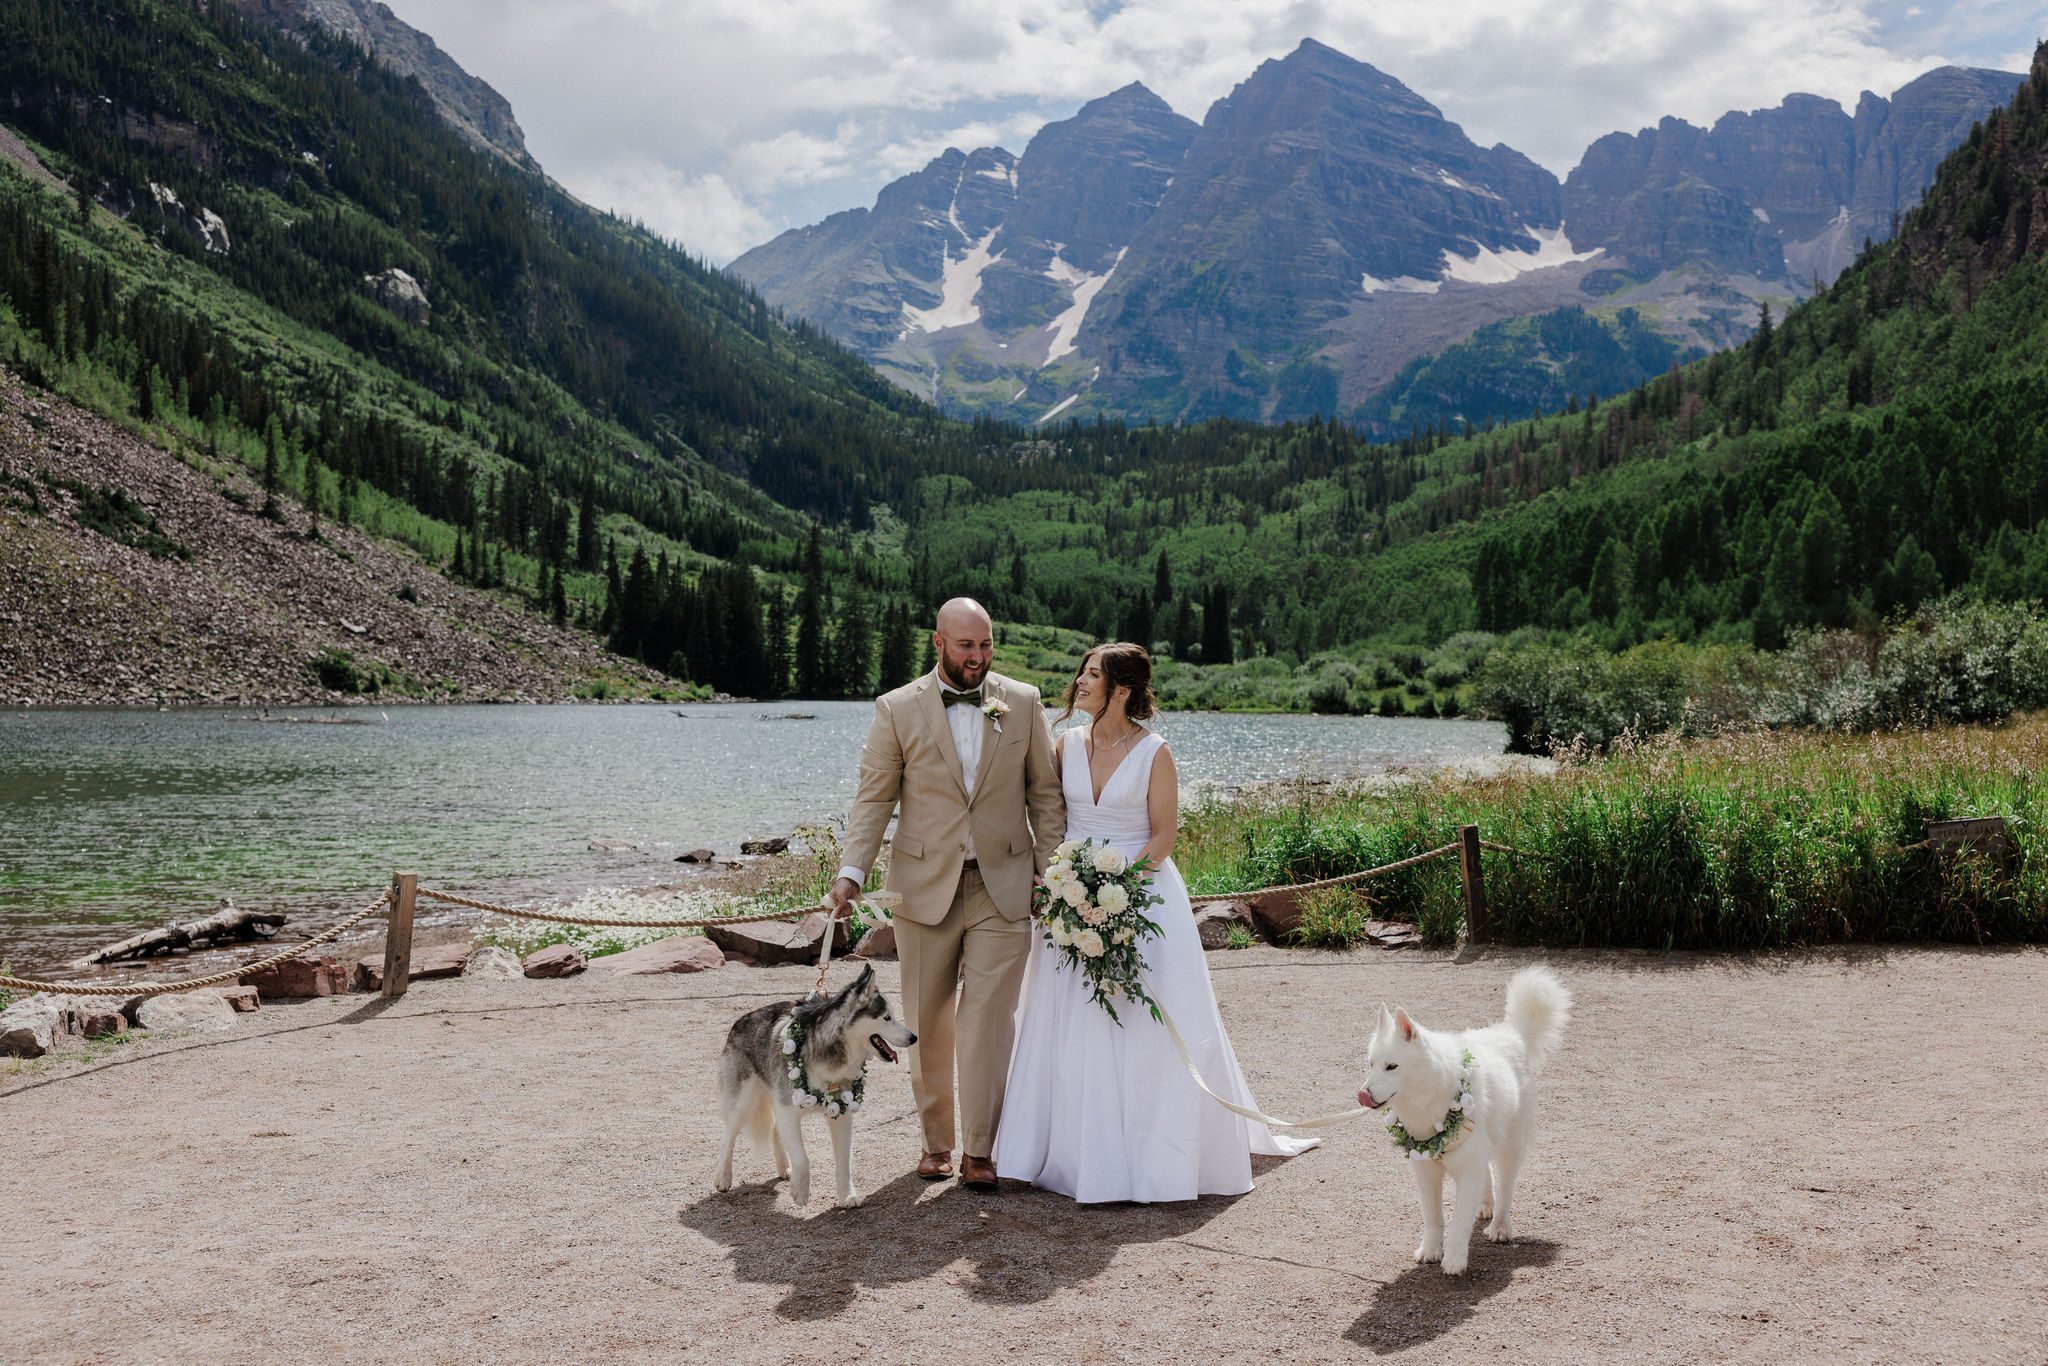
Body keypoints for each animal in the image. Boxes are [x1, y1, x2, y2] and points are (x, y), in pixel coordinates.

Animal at [716, 962, 917, 1204]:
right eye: (887, 1018)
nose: (914, 1037)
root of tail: (741, 1020)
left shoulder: (841, 1113)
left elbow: (844, 1162)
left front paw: (847, 1196)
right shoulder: (788, 1110)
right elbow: (803, 1158)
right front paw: (801, 1193)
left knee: (774, 1131)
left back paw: (784, 1168)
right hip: (744, 1103)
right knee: (728, 1136)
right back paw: (723, 1177)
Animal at [1359, 966, 1564, 1277]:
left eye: (1391, 1066)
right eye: (1371, 1064)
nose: (1363, 1095)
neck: (1432, 1097)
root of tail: (1512, 1034)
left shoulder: (1467, 1170)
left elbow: (1458, 1221)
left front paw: (1454, 1259)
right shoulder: (1426, 1170)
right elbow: (1433, 1216)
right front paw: (1431, 1250)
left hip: (1509, 1148)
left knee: (1506, 1186)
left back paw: (1500, 1226)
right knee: (1488, 1175)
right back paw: (1486, 1206)